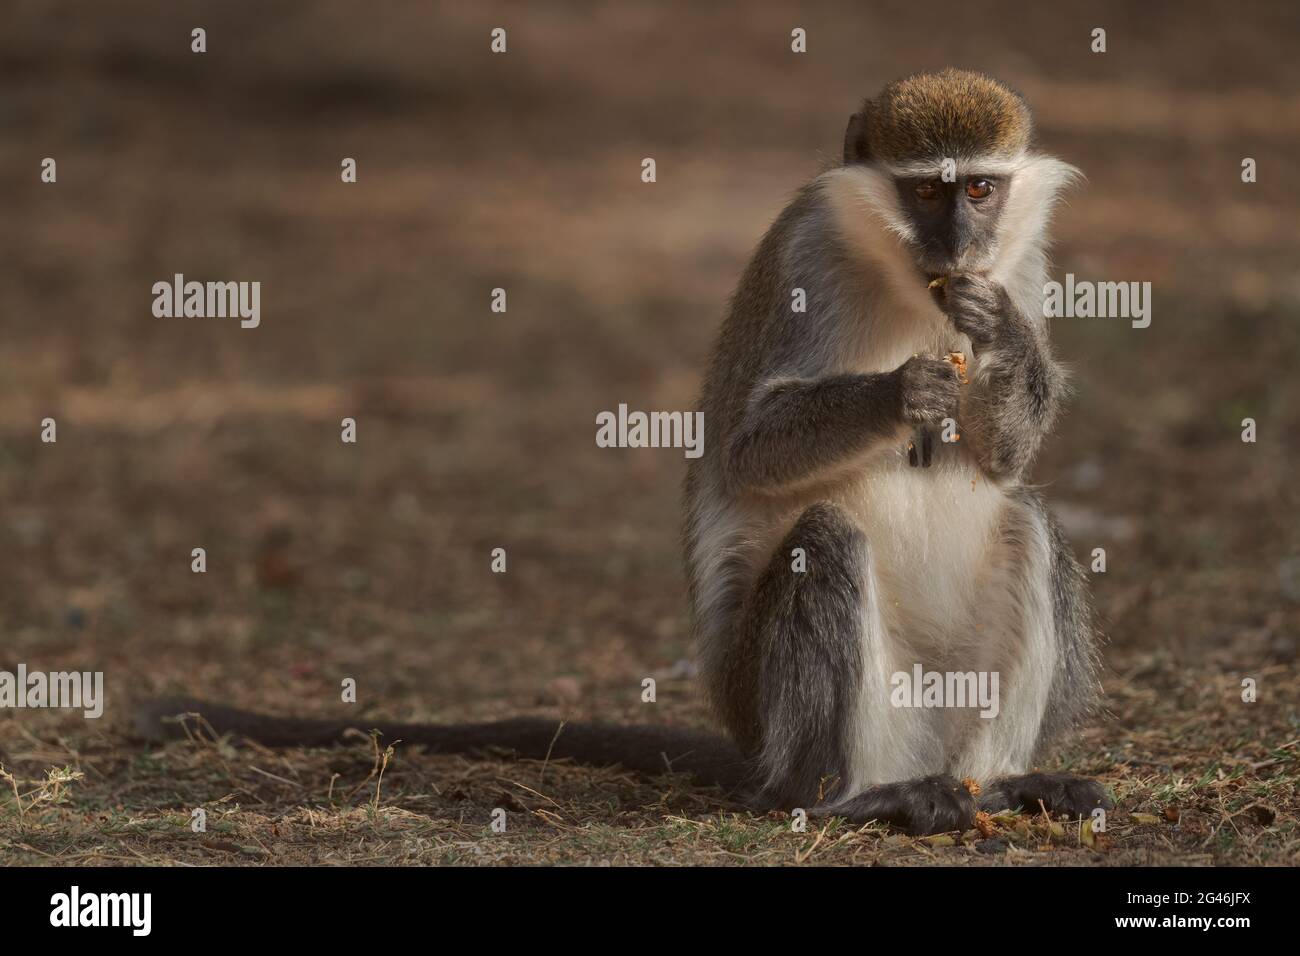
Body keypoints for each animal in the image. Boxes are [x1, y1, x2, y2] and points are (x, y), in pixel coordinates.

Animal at [134, 69, 1109, 836]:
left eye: (978, 191)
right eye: (926, 194)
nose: (961, 245)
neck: (910, 282)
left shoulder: (1021, 263)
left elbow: (1005, 461)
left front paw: (1002, 341)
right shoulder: (806, 255)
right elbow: (748, 450)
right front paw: (902, 393)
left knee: (1028, 521)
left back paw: (1004, 785)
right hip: (775, 710)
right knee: (827, 544)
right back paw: (851, 799)